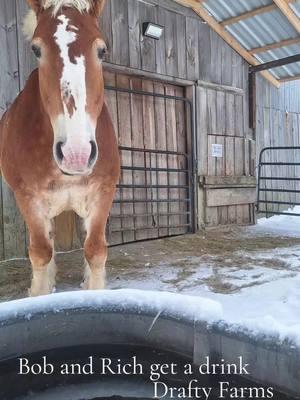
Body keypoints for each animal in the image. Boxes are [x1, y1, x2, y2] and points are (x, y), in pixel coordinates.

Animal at [0, 0, 119, 294]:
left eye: (102, 50)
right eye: (36, 49)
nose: (76, 155)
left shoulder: (103, 191)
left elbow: (95, 251)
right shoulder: (28, 198)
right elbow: (41, 253)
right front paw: (41, 292)